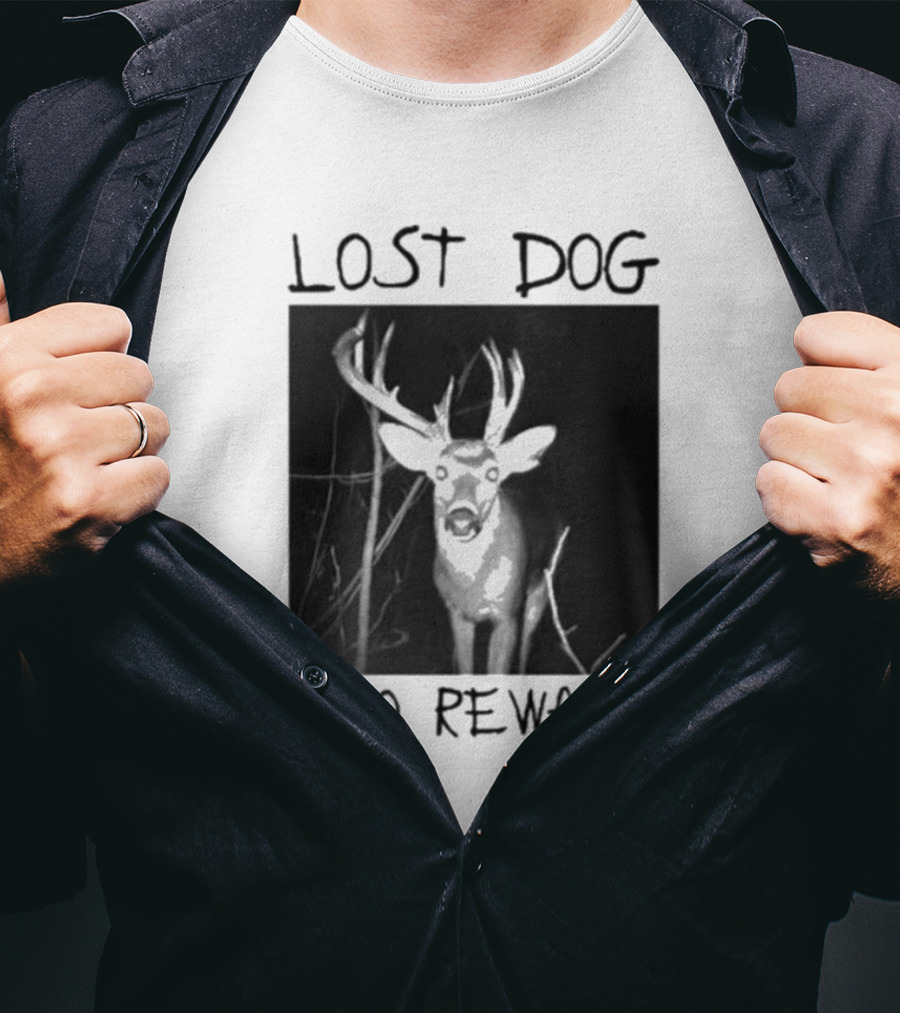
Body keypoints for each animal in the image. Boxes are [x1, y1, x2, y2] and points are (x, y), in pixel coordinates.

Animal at [333, 313, 558, 675]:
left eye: (493, 472)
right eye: (440, 471)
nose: (461, 518)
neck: (471, 587)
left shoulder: (507, 612)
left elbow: (499, 672)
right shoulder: (455, 613)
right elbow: (466, 669)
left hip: (541, 583)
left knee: (526, 650)